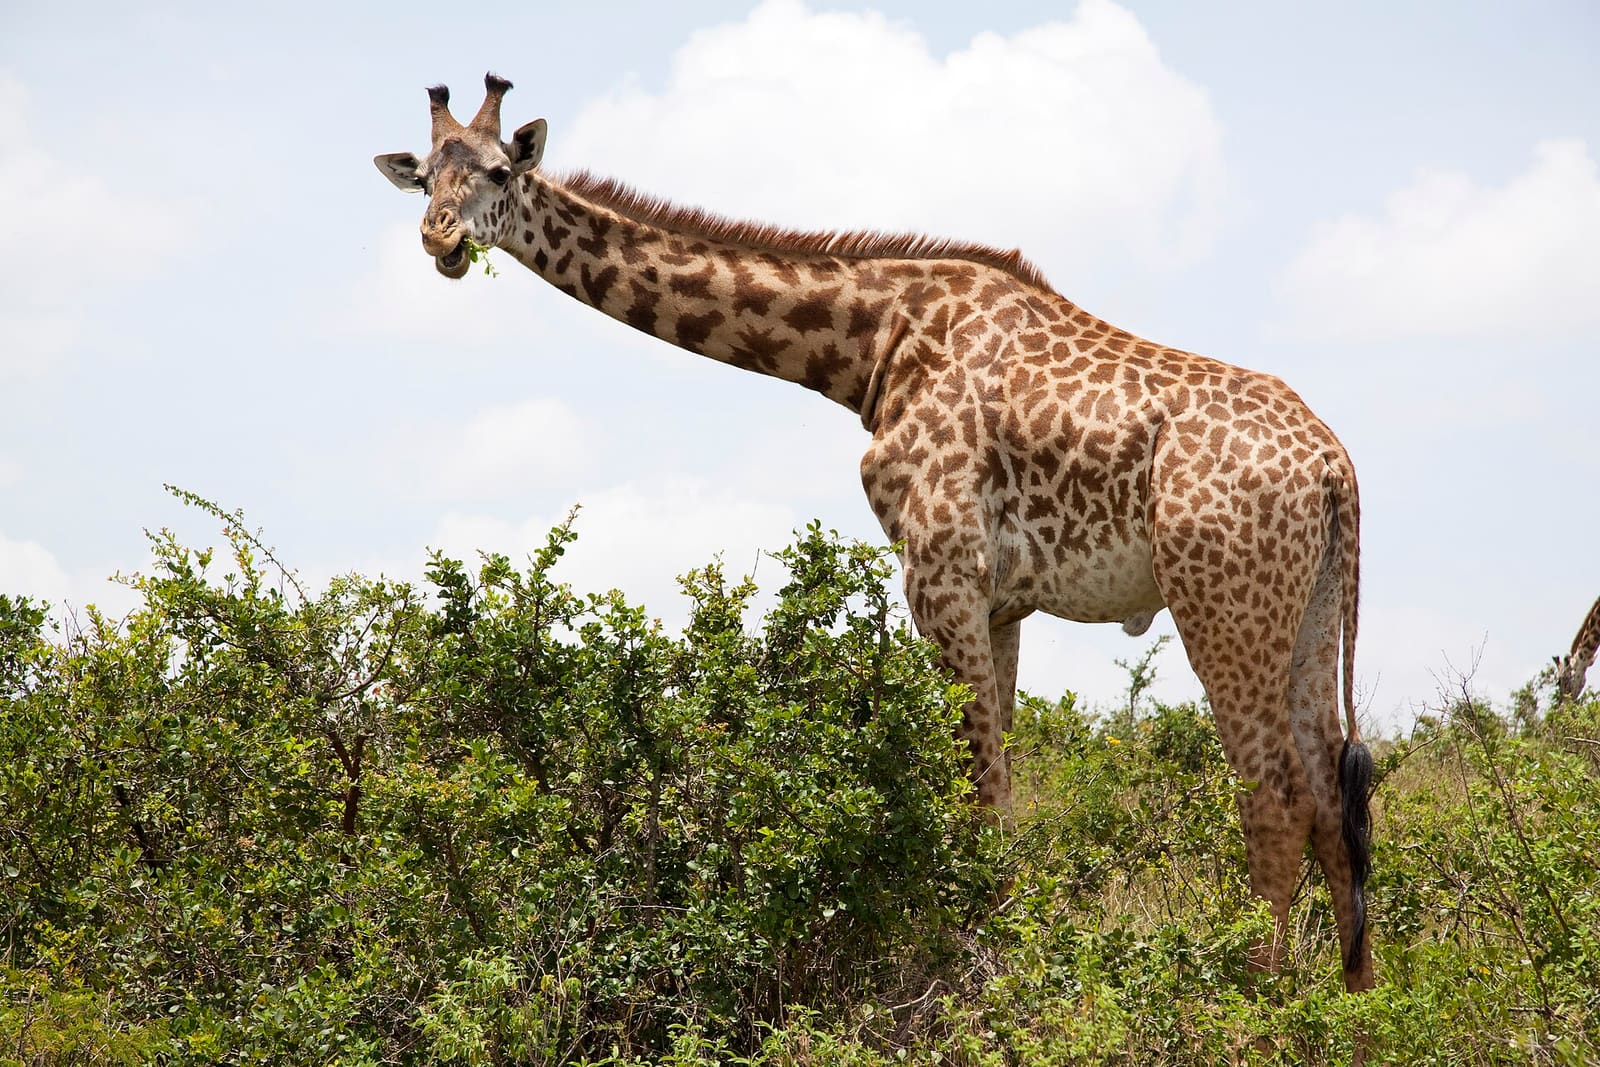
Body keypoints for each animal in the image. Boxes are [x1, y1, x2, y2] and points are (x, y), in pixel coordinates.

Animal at [374, 74, 1375, 991]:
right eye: (424, 174)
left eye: (500, 171)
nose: (440, 240)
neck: (870, 344)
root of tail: (1336, 469)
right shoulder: (1002, 601)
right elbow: (995, 783)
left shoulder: (939, 571)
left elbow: (982, 791)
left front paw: (986, 976)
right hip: (1311, 611)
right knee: (1335, 797)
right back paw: (1352, 1000)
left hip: (1220, 600)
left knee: (1276, 795)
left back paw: (1255, 992)